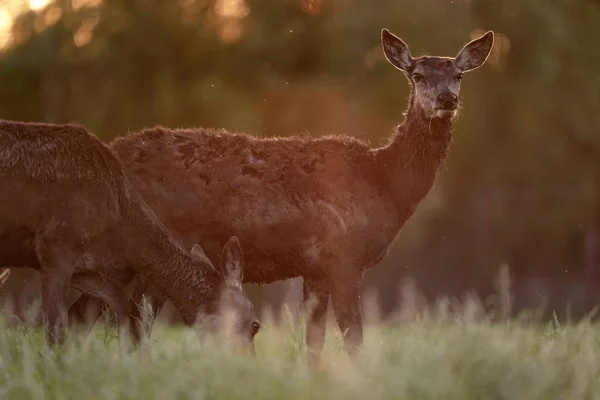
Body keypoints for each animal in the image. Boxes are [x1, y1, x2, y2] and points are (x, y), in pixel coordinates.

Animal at [0, 119, 258, 346]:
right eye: (255, 324)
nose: (245, 362)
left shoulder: (85, 267)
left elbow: (122, 307)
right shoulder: (57, 244)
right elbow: (55, 331)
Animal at [69, 27, 492, 360]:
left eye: (458, 75)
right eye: (417, 75)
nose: (447, 99)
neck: (384, 183)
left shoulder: (316, 267)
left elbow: (314, 341)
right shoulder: (344, 255)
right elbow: (353, 339)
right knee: (111, 318)